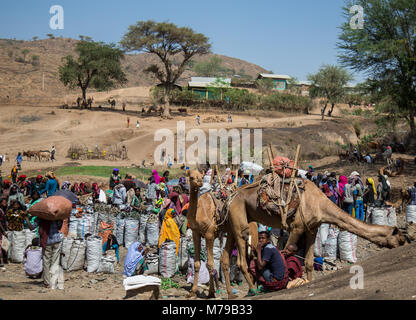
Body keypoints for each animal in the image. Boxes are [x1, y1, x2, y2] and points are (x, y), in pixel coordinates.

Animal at [219, 178, 408, 298]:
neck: (320, 203)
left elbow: (309, 262)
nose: (405, 243)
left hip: (232, 223)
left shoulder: (312, 229)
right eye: (400, 238)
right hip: (239, 218)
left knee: (225, 258)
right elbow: (286, 254)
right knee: (242, 259)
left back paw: (231, 294)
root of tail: (229, 197)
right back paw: (254, 290)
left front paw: (307, 281)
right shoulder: (297, 227)